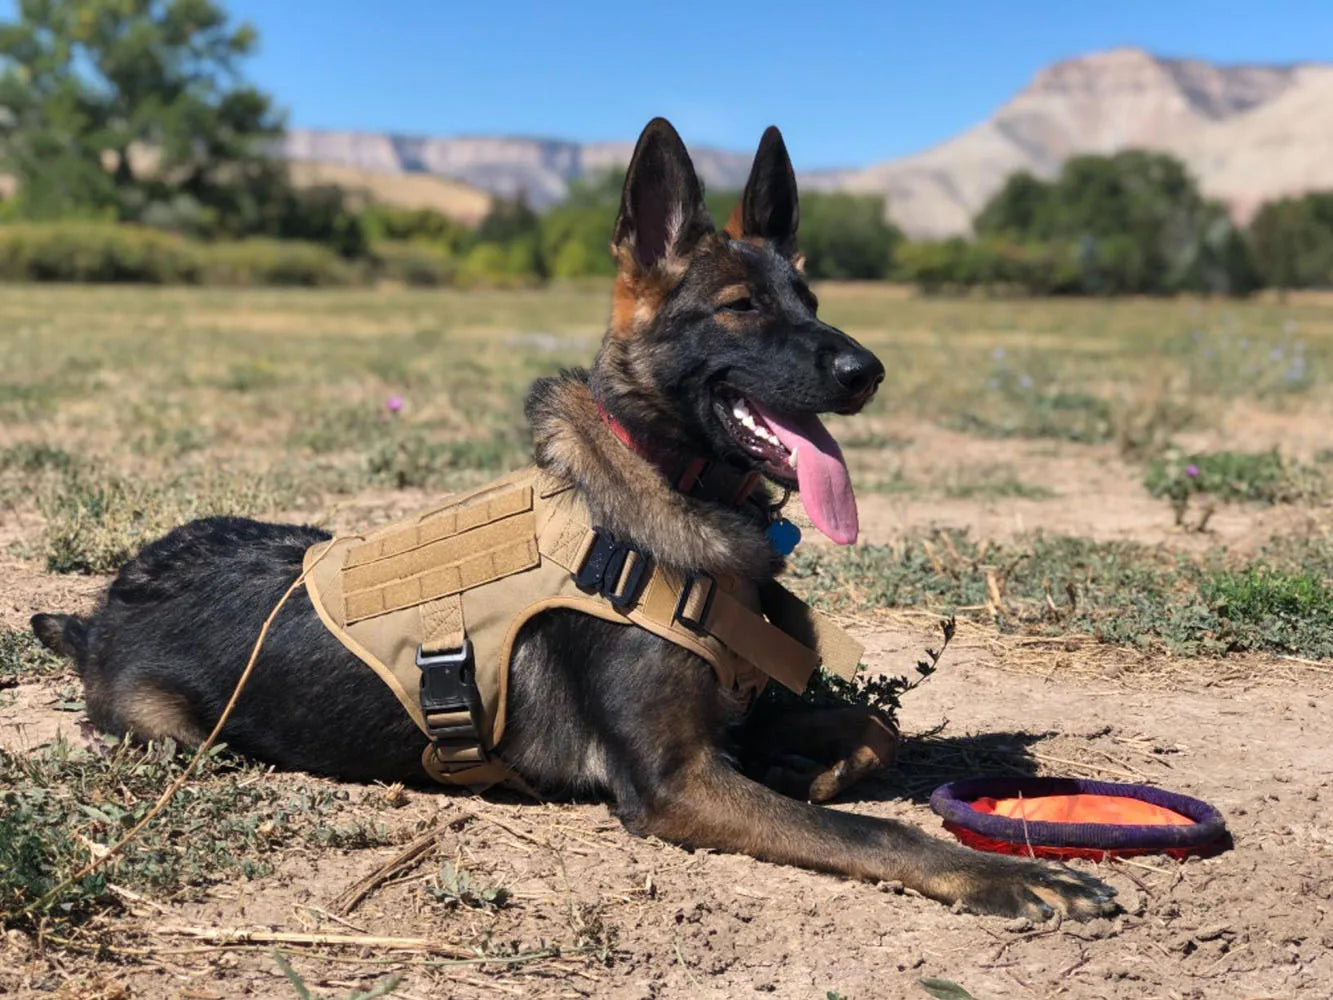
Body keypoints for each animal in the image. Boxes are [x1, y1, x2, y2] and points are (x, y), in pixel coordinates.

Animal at [28, 119, 1114, 922]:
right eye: (739, 308)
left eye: (810, 297)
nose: (867, 370)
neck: (668, 490)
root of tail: (101, 611)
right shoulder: (673, 782)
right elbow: (875, 828)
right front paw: (1007, 872)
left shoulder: (727, 728)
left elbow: (873, 724)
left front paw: (812, 764)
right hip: (174, 736)